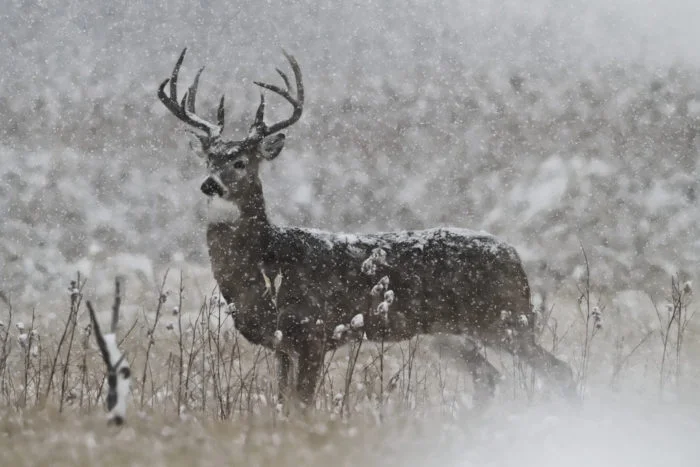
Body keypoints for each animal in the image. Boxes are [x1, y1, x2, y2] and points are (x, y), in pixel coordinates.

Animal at [157, 48, 576, 409]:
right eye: (209, 159)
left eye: (241, 162)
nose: (210, 184)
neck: (270, 258)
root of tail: (514, 255)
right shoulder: (283, 345)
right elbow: (282, 404)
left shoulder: (315, 331)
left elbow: (302, 406)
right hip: (450, 334)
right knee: (489, 378)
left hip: (503, 319)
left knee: (558, 370)